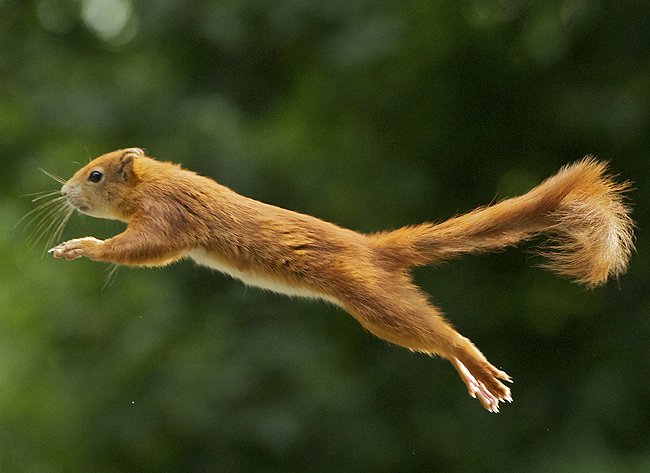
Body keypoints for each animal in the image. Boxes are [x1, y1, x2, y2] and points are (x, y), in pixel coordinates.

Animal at [48, 148, 634, 412]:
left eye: (95, 175)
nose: (63, 192)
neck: (155, 181)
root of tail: (371, 249)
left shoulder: (170, 218)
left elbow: (146, 248)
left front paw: (83, 246)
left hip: (373, 302)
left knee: (442, 334)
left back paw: (479, 366)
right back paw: (474, 380)